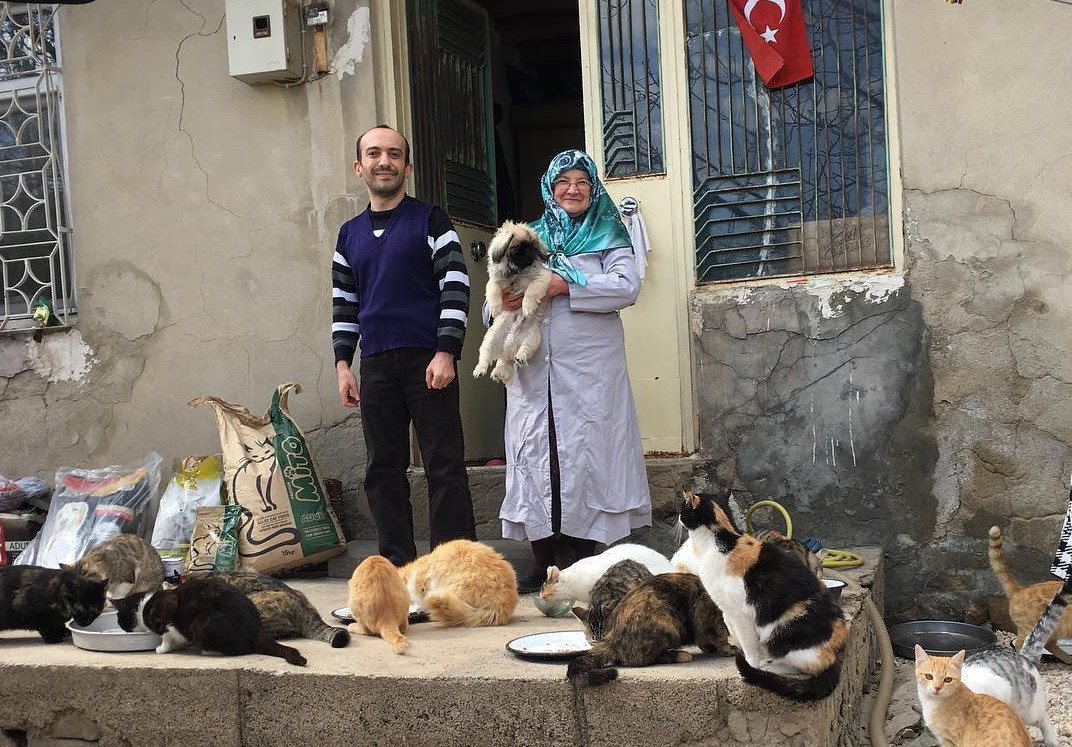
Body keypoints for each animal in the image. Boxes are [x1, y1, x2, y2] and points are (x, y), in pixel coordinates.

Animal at [121, 576, 306, 666]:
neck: (146, 604)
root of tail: (256, 629)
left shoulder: (166, 619)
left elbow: (167, 637)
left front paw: (161, 649)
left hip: (202, 622)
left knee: (240, 649)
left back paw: (209, 651)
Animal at [473, 221, 553, 384]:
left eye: (533, 246)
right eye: (519, 247)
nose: (531, 252)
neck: (517, 272)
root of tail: (510, 347)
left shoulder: (542, 277)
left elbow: (530, 292)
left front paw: (527, 306)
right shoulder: (494, 282)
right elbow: (493, 290)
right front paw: (496, 307)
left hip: (533, 337)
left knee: (522, 351)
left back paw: (519, 357)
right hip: (491, 338)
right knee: (487, 355)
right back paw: (481, 369)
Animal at [567, 572, 735, 688]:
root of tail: (612, 637)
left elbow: (704, 638)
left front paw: (710, 648)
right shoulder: (713, 615)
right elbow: (721, 636)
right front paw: (729, 649)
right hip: (669, 625)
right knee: (639, 659)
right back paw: (680, 655)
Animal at [678, 490, 848, 702]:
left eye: (682, 508)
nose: (677, 517)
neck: (720, 542)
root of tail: (836, 653)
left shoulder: (741, 614)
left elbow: (748, 644)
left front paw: (750, 664)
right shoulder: (727, 612)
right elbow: (734, 633)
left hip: (779, 632)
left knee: (807, 667)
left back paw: (769, 668)